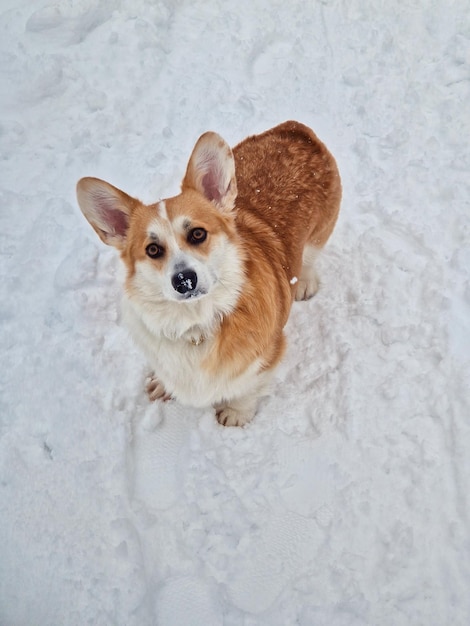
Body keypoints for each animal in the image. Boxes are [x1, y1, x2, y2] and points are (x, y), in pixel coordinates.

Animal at [77, 120, 342, 426]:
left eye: (197, 234)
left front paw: (235, 414)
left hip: (319, 234)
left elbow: (248, 388)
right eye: (153, 249)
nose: (184, 280)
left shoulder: (268, 355)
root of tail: (294, 128)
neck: (196, 322)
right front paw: (163, 384)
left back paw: (304, 282)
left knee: (309, 257)